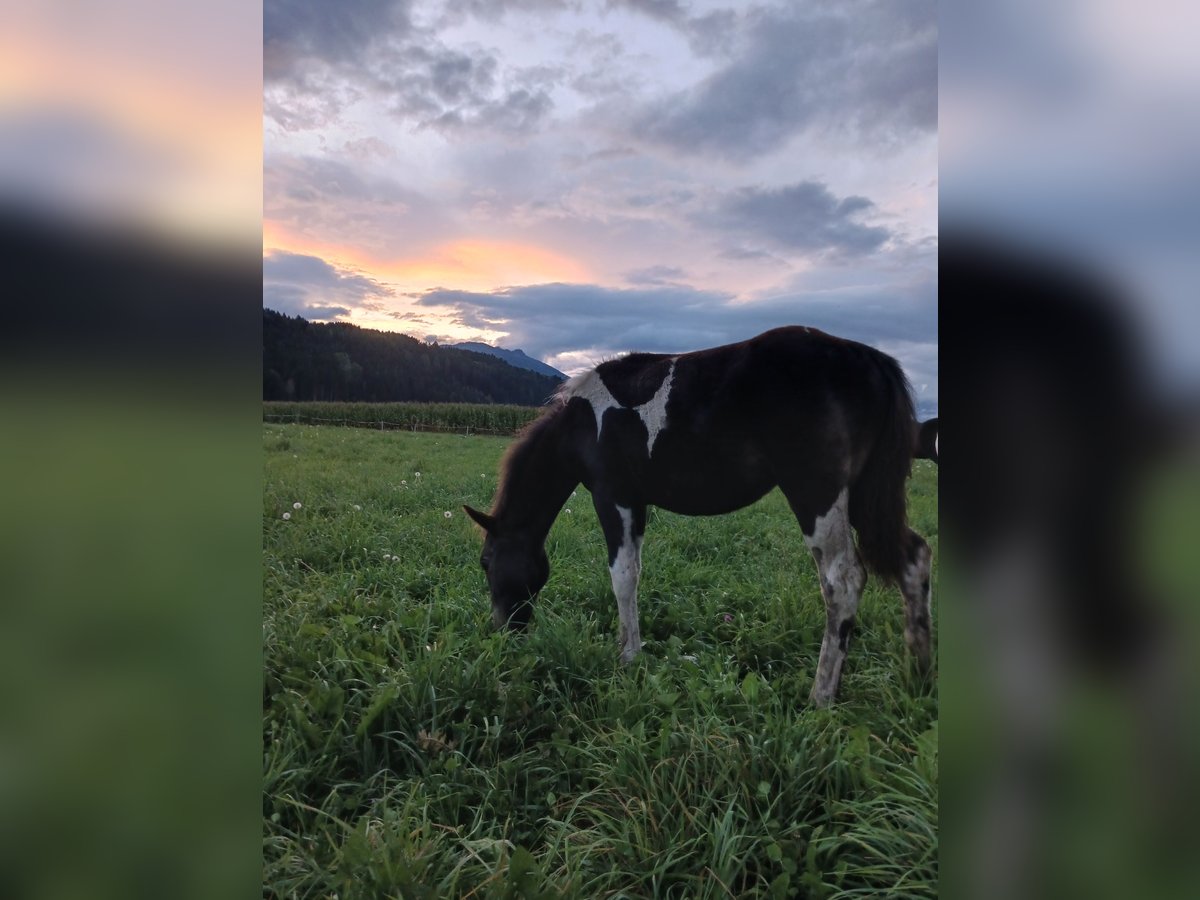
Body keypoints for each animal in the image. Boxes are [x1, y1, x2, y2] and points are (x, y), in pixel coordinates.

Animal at [464, 325, 936, 706]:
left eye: (486, 562)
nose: (502, 630)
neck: (582, 422)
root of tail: (871, 361)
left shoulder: (612, 497)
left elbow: (621, 577)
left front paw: (627, 657)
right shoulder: (637, 503)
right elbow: (634, 574)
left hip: (817, 494)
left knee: (843, 581)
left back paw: (821, 697)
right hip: (865, 495)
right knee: (914, 559)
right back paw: (918, 674)